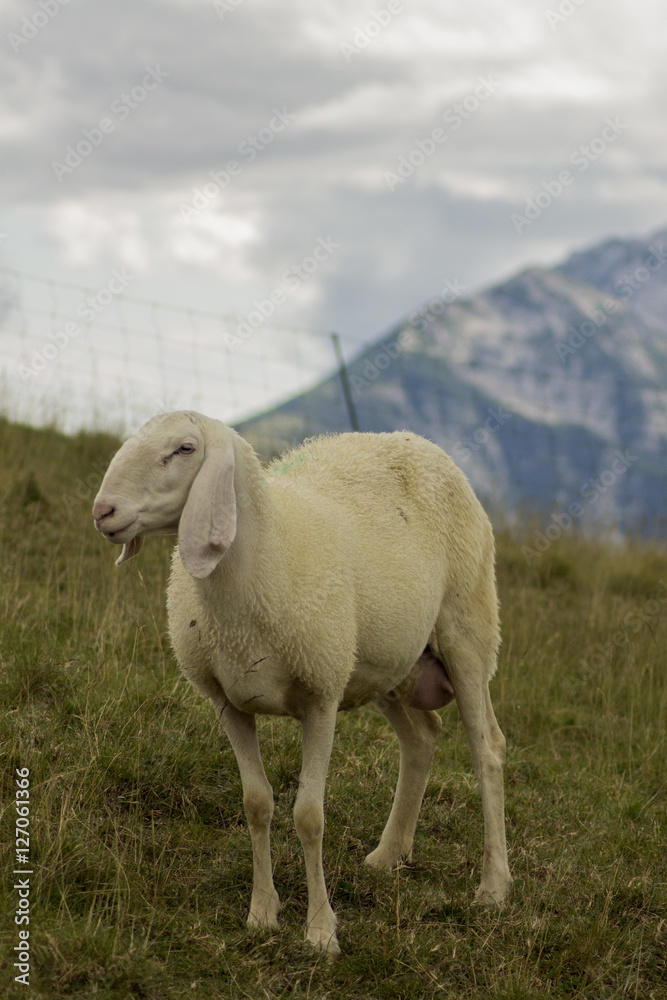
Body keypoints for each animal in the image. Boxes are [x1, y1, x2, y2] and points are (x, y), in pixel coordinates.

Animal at [92, 410, 511, 955]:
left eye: (184, 448)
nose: (103, 511)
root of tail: (419, 441)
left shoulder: (321, 696)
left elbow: (309, 816)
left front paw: (320, 930)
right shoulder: (227, 702)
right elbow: (256, 805)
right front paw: (261, 912)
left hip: (467, 629)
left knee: (487, 751)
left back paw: (494, 886)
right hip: (383, 663)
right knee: (422, 737)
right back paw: (388, 854)